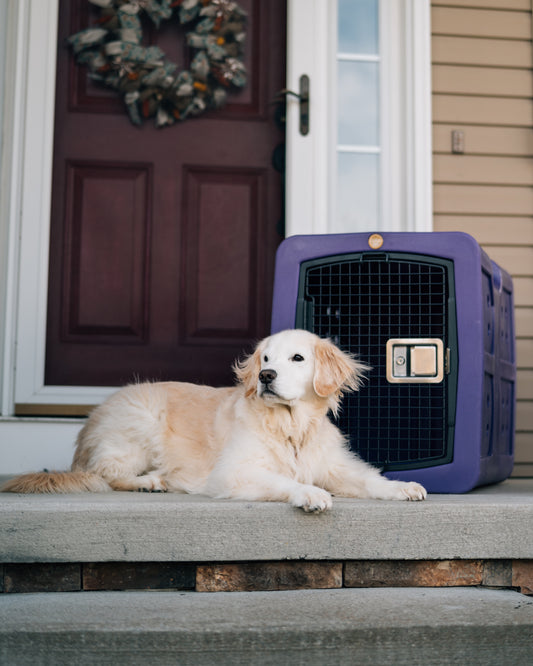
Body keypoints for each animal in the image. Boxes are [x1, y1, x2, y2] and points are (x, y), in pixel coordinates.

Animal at [0, 330, 424, 510]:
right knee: (105, 473)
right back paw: (149, 482)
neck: (290, 426)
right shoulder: (233, 472)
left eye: (297, 358)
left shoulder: (334, 466)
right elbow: (283, 480)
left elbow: (369, 479)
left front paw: (401, 487)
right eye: (265, 359)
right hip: (143, 416)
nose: (265, 377)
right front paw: (309, 494)